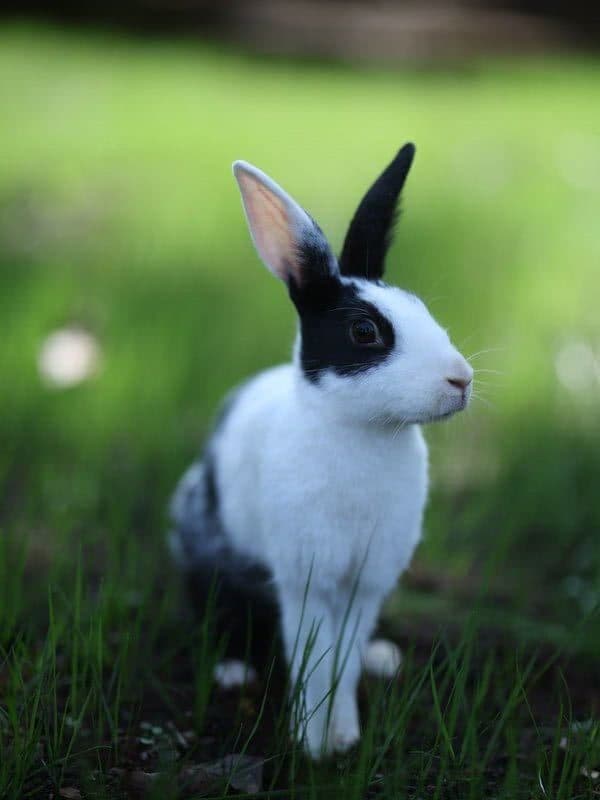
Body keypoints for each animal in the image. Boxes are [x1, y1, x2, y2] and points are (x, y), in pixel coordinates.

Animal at [168, 143, 473, 758]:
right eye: (365, 332)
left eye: (423, 309)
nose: (461, 380)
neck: (362, 429)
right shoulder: (306, 575)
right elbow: (315, 659)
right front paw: (311, 744)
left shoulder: (367, 580)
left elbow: (345, 659)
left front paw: (344, 734)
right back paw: (233, 670)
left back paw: (384, 659)